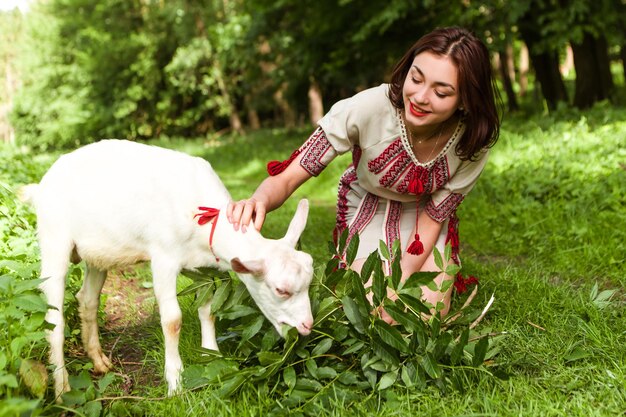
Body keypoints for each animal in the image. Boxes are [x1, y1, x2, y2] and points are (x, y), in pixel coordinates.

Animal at [22, 141, 314, 400]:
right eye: (281, 289)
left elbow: (209, 310)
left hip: (97, 253)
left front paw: (211, 355)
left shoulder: (208, 266)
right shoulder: (163, 258)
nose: (307, 325)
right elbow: (172, 320)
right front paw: (175, 383)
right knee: (54, 318)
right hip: (54, 239)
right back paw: (62, 390)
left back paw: (99, 361)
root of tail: (40, 188)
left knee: (87, 299)